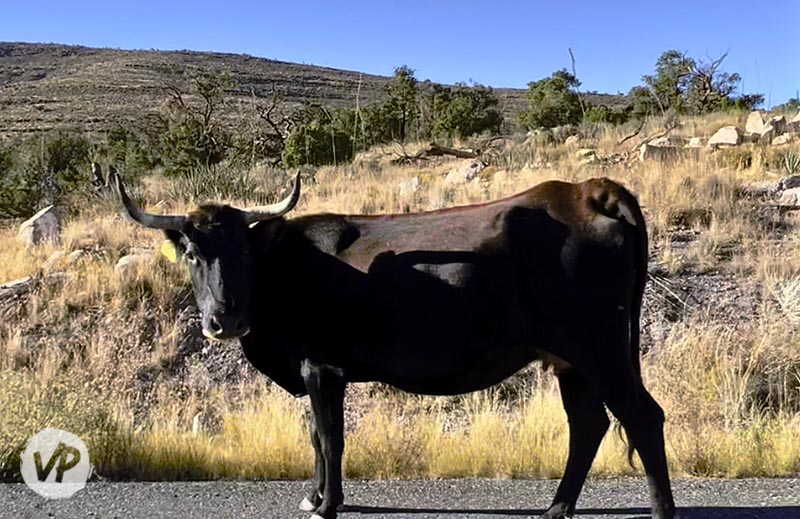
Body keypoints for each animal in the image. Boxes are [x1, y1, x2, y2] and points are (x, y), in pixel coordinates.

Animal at [112, 172, 676, 519]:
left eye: (244, 251)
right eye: (191, 253)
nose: (223, 318)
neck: (284, 269)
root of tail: (586, 190)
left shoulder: (321, 367)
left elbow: (330, 437)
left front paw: (328, 505)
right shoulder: (315, 369)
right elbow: (314, 436)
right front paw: (313, 496)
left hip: (600, 348)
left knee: (643, 417)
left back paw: (659, 510)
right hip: (571, 360)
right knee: (589, 425)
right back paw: (557, 508)